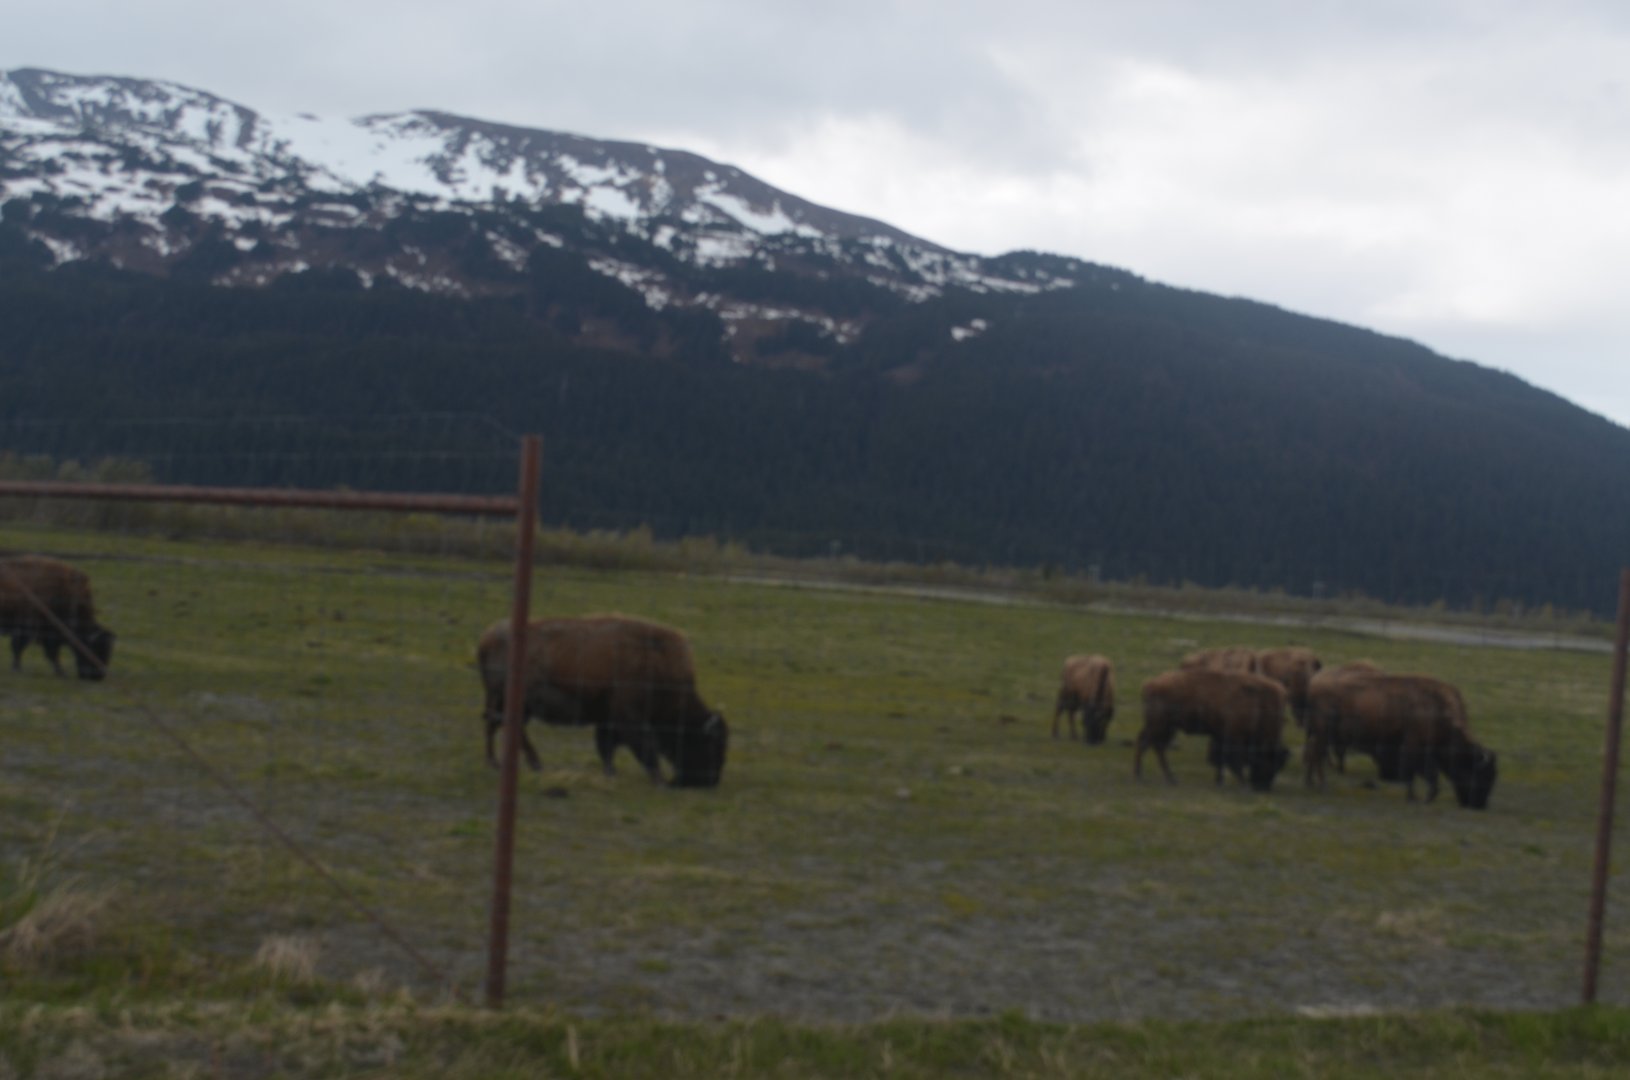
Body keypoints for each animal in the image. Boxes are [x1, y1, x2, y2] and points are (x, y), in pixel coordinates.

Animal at [476, 613, 729, 788]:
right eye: (710, 744)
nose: (710, 781)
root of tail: (487, 639)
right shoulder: (629, 718)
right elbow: (644, 747)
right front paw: (659, 780)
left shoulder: (608, 719)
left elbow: (607, 746)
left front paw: (611, 772)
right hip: (511, 703)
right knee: (503, 726)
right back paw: (523, 763)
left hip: (510, 704)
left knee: (497, 725)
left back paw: (507, 763)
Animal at [1135, 669, 1289, 791]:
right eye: (1267, 761)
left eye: (1278, 766)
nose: (1262, 788)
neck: (1259, 705)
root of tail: (1149, 684)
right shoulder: (1233, 736)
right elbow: (1233, 760)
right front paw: (1241, 784)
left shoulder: (1220, 736)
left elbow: (1221, 760)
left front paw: (1219, 781)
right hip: (1159, 725)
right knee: (1147, 744)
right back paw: (1141, 776)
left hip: (1167, 727)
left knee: (1156, 746)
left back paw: (1169, 778)